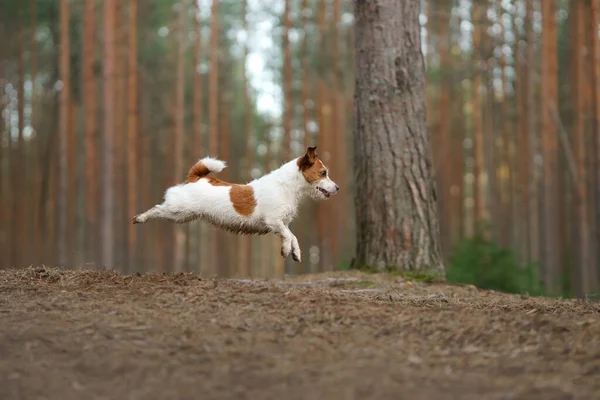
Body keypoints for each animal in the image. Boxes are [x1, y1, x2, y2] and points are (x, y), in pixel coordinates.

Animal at [132, 146, 338, 262]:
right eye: (323, 173)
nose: (337, 187)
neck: (287, 186)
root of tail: (195, 178)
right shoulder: (274, 221)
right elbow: (288, 236)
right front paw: (286, 249)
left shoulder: (281, 223)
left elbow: (293, 237)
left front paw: (296, 253)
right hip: (177, 210)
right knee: (157, 209)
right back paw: (140, 218)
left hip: (182, 215)